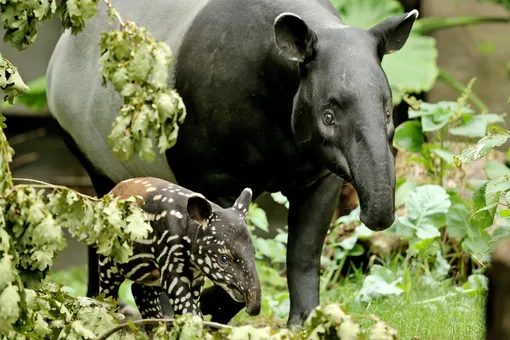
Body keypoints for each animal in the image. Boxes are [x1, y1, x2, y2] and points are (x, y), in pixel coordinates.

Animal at [98, 178, 260, 318]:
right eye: (224, 259)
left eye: (253, 253)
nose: (252, 308)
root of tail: (111, 192)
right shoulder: (171, 261)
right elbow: (190, 311)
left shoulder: (197, 279)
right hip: (109, 259)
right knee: (107, 293)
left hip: (152, 274)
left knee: (141, 291)